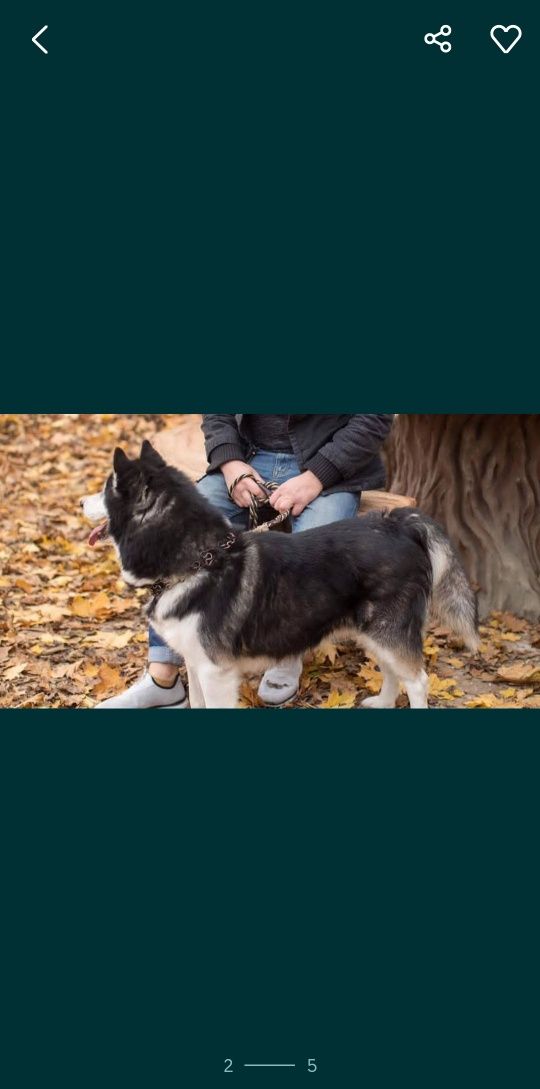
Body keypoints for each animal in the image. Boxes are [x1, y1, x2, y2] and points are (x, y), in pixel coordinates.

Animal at [82, 437, 479, 710]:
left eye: (104, 491)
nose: (80, 502)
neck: (200, 562)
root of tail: (398, 523)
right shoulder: (196, 664)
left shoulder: (215, 672)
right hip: (374, 632)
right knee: (392, 671)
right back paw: (381, 703)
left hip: (390, 631)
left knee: (418, 681)